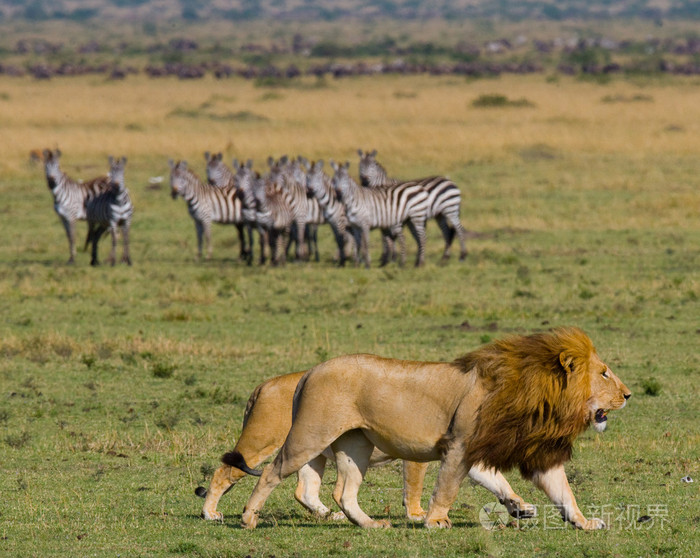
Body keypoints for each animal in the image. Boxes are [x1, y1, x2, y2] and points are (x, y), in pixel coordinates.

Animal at [194, 372, 532, 524]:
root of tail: (264, 384)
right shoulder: (417, 450)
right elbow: (415, 485)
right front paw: (418, 515)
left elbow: (497, 481)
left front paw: (520, 506)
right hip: (263, 441)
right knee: (223, 473)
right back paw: (210, 513)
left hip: (312, 453)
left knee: (305, 490)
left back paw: (332, 515)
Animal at [241, 330, 628, 532]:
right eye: (604, 373)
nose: (628, 394)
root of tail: (309, 371)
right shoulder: (460, 445)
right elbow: (447, 487)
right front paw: (435, 521)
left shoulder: (529, 452)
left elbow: (563, 493)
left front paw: (584, 522)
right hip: (310, 436)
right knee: (271, 472)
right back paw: (248, 518)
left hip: (355, 446)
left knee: (343, 493)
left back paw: (371, 525)